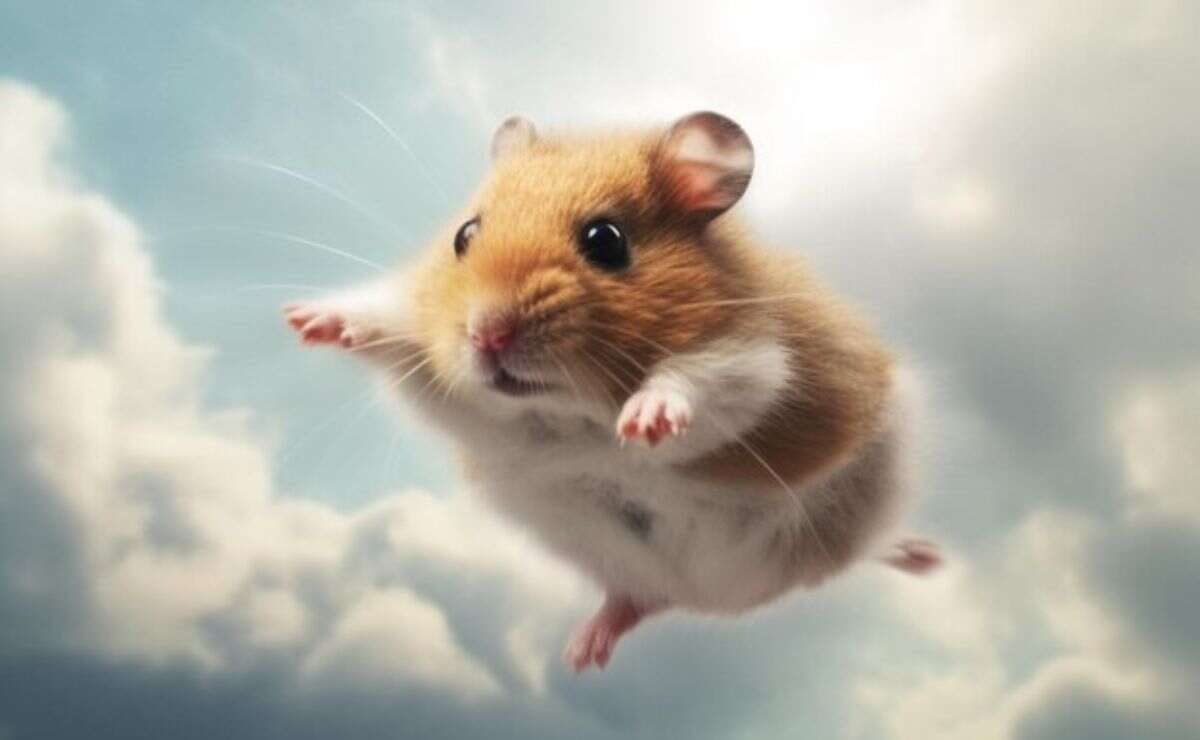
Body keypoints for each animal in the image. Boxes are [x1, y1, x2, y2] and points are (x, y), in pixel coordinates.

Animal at [283, 111, 940, 672]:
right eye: (464, 236)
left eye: (605, 240)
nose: (487, 334)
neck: (563, 412)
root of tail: (718, 600)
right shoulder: (460, 398)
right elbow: (398, 332)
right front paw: (306, 321)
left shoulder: (761, 360)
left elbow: (702, 378)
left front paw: (643, 423)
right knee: (643, 600)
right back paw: (584, 653)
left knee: (857, 550)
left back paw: (924, 556)